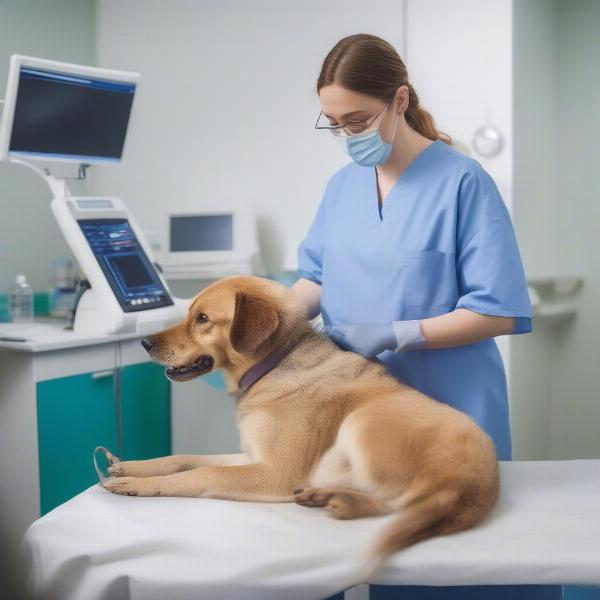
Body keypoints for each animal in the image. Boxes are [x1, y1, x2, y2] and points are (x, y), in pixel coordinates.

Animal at [102, 274, 496, 584]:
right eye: (188, 314)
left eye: (202, 319)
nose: (145, 343)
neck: (272, 366)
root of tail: (474, 483)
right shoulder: (251, 456)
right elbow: (184, 458)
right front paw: (133, 467)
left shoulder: (276, 471)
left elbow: (200, 473)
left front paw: (137, 484)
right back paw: (325, 496)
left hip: (361, 421)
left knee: (394, 503)